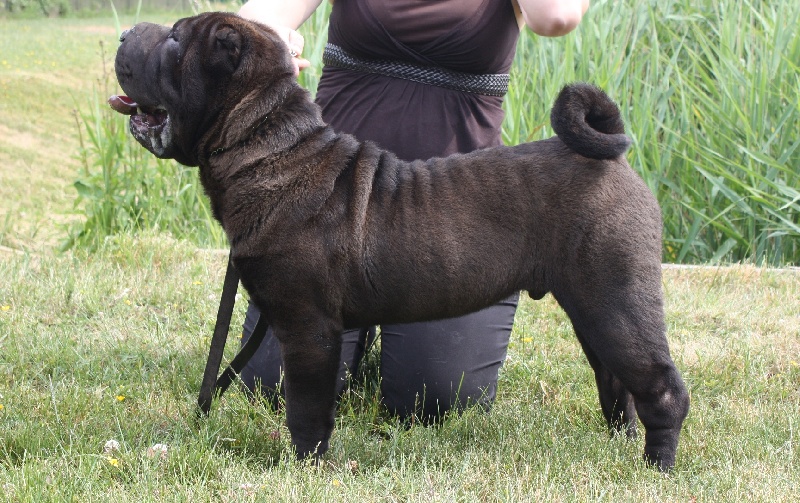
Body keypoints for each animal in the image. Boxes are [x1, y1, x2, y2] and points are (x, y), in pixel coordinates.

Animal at [111, 11, 688, 472]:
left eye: (176, 40)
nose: (121, 34)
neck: (266, 144)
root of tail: (611, 161)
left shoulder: (307, 326)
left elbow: (306, 407)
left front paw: (305, 468)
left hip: (616, 301)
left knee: (661, 387)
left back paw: (655, 467)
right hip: (593, 308)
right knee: (617, 382)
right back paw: (619, 444)